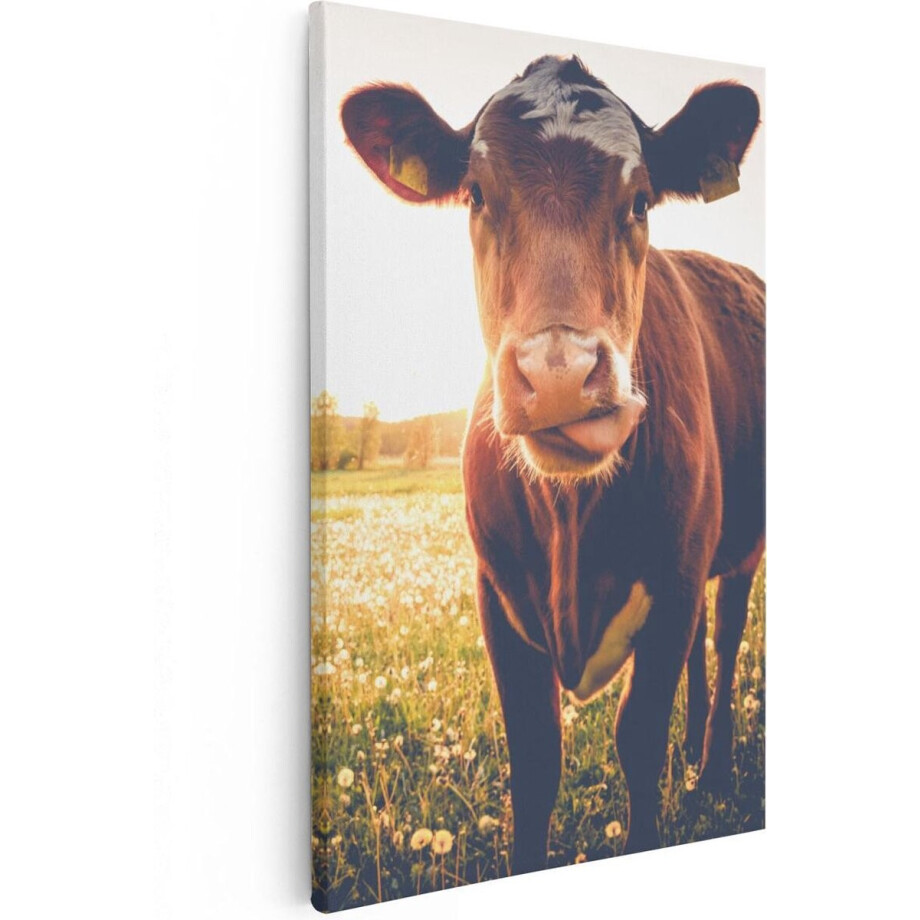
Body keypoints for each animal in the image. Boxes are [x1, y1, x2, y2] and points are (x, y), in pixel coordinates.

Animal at [341, 54, 764, 871]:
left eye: (641, 200)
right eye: (476, 193)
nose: (560, 373)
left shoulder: (673, 581)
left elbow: (637, 739)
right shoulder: (496, 593)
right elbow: (535, 761)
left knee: (725, 638)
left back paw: (710, 766)